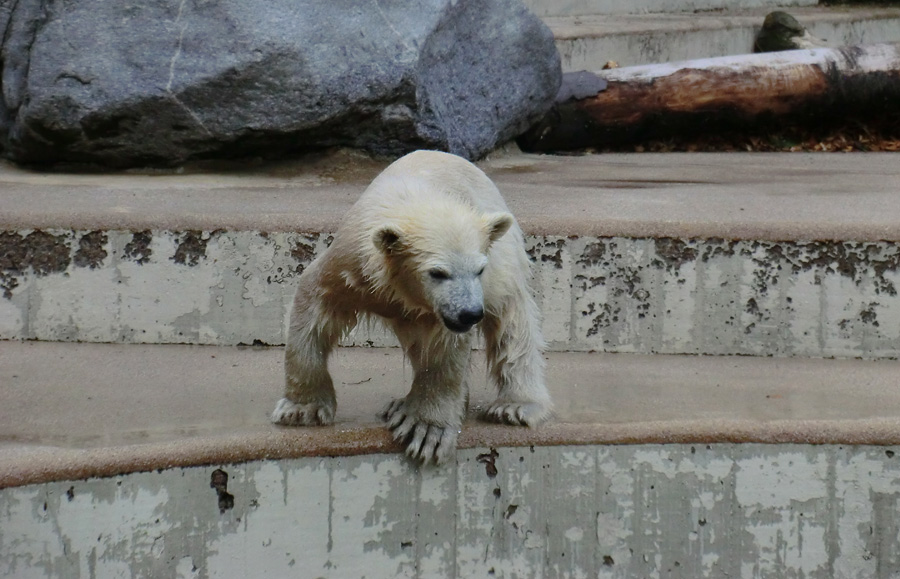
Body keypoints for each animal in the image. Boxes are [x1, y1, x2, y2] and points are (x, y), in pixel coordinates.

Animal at [270, 151, 552, 466]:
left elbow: (443, 351)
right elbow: (314, 306)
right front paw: (301, 410)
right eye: (437, 273)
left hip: (504, 253)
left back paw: (514, 406)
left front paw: (426, 428)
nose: (469, 314)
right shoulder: (350, 263)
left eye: (479, 269)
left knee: (512, 321)